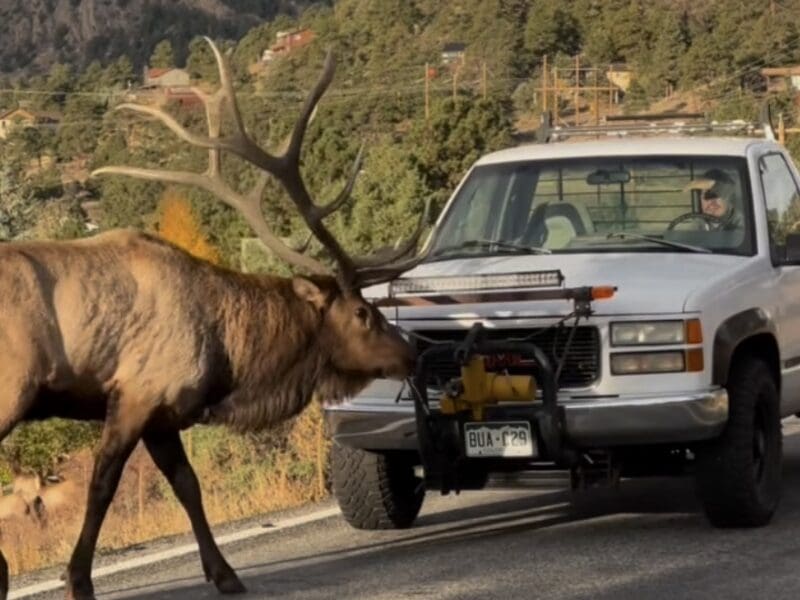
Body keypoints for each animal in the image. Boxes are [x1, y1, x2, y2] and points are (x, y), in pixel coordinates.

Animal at [0, 39, 429, 600]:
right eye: (363, 312)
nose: (412, 349)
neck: (230, 357)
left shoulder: (162, 413)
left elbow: (188, 485)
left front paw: (224, 572)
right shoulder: (137, 393)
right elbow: (102, 486)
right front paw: (77, 580)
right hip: (11, 389)